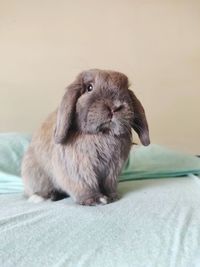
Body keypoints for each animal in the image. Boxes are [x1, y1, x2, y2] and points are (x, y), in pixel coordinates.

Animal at [21, 69, 150, 205]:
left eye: (125, 89)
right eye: (89, 87)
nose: (115, 107)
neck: (102, 134)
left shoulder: (112, 170)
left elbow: (108, 185)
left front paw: (112, 196)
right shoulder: (79, 169)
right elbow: (85, 185)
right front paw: (96, 200)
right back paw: (43, 197)